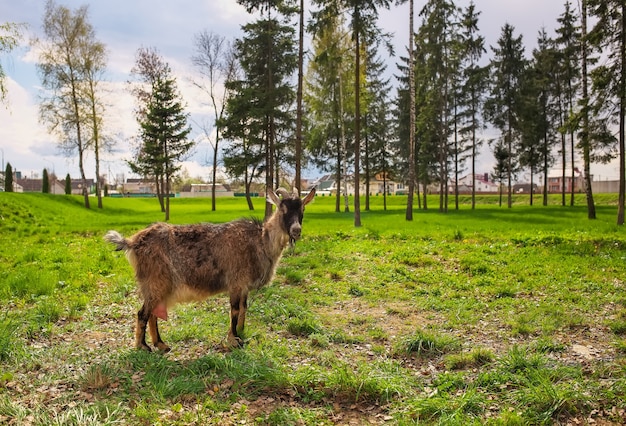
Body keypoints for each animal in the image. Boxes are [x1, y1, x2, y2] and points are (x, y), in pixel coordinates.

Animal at [105, 187, 316, 352]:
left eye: (303, 208)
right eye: (283, 208)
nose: (296, 230)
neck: (260, 242)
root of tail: (132, 242)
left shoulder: (244, 286)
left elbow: (244, 308)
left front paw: (241, 333)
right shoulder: (236, 282)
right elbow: (235, 310)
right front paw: (234, 340)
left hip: (157, 285)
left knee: (153, 313)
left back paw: (161, 344)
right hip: (155, 280)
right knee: (143, 313)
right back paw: (143, 346)